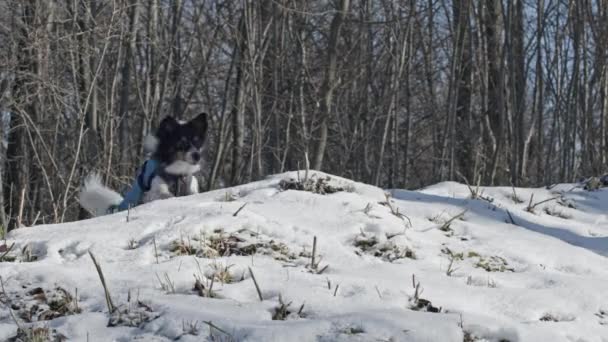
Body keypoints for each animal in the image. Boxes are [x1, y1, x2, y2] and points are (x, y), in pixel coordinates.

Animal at [79, 114, 208, 216]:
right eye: (182, 142)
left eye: (196, 141)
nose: (197, 156)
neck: (178, 172)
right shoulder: (154, 188)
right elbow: (165, 194)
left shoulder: (189, 179)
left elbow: (192, 189)